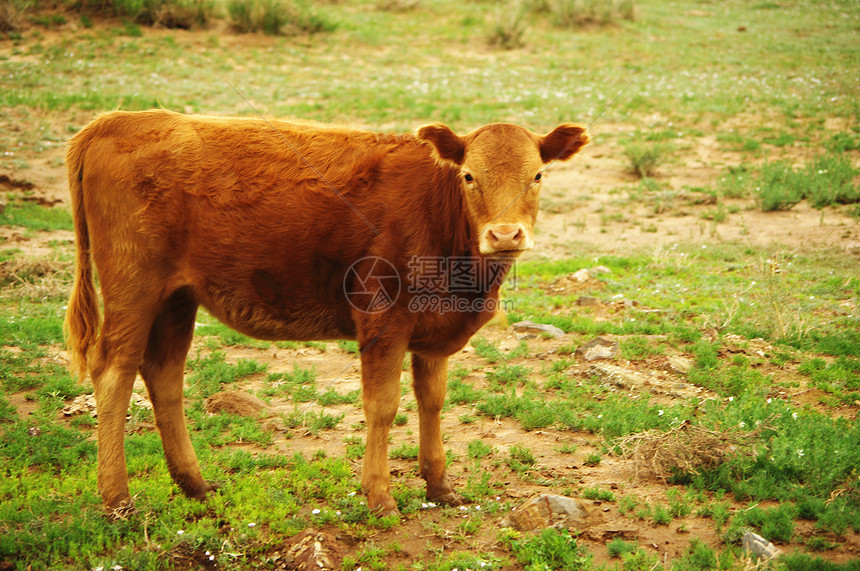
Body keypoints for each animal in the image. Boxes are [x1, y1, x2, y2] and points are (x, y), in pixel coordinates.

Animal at [65, 109, 592, 516]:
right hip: (133, 285)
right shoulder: (383, 320)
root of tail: (117, 119)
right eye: (469, 176)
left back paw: (196, 485)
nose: (504, 235)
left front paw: (440, 486)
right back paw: (117, 498)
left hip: (177, 297)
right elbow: (383, 406)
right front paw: (379, 497)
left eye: (537, 176)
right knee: (115, 371)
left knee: (164, 374)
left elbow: (433, 400)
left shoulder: (433, 330)